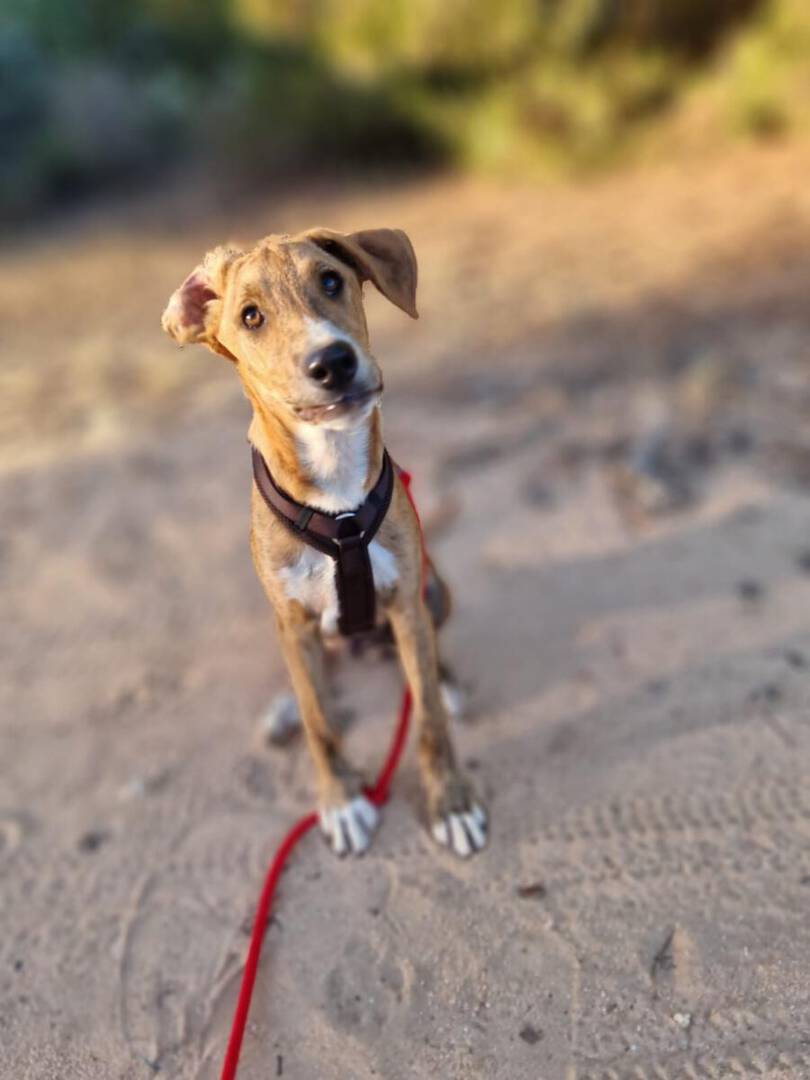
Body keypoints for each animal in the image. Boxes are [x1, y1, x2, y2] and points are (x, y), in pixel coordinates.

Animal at [162, 226, 486, 858]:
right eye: (251, 316)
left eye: (331, 281)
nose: (332, 361)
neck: (337, 496)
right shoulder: (292, 619)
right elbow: (321, 724)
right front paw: (341, 801)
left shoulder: (405, 602)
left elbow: (429, 718)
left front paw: (451, 801)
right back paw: (286, 708)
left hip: (435, 589)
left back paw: (449, 681)